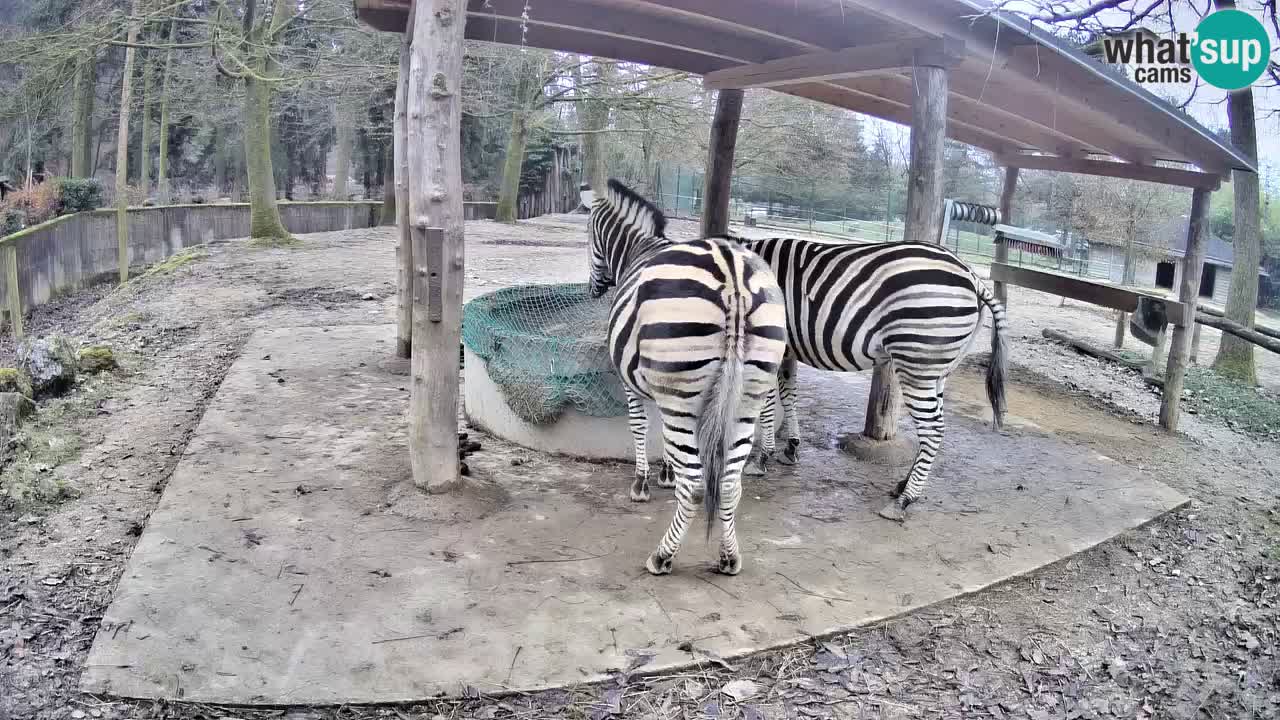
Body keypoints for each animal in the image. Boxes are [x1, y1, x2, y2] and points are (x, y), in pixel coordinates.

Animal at [587, 179, 787, 576]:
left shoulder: (634, 384)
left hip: (684, 393)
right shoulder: (663, 387)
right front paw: (666, 472)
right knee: (729, 483)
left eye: (589, 237)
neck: (639, 247)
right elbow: (664, 441)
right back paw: (729, 558)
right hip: (746, 398)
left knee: (696, 485)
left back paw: (662, 556)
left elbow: (640, 427)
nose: (592, 289)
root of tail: (733, 274)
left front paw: (643, 482)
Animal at [593, 180, 1009, 522]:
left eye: (594, 245)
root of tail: (971, 275)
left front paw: (760, 457)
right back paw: (902, 487)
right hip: (937, 366)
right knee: (933, 429)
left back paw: (904, 501)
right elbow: (788, 394)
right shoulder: (785, 348)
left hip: (918, 361)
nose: (597, 290)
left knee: (934, 429)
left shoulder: (767, 347)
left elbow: (766, 404)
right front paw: (789, 447)